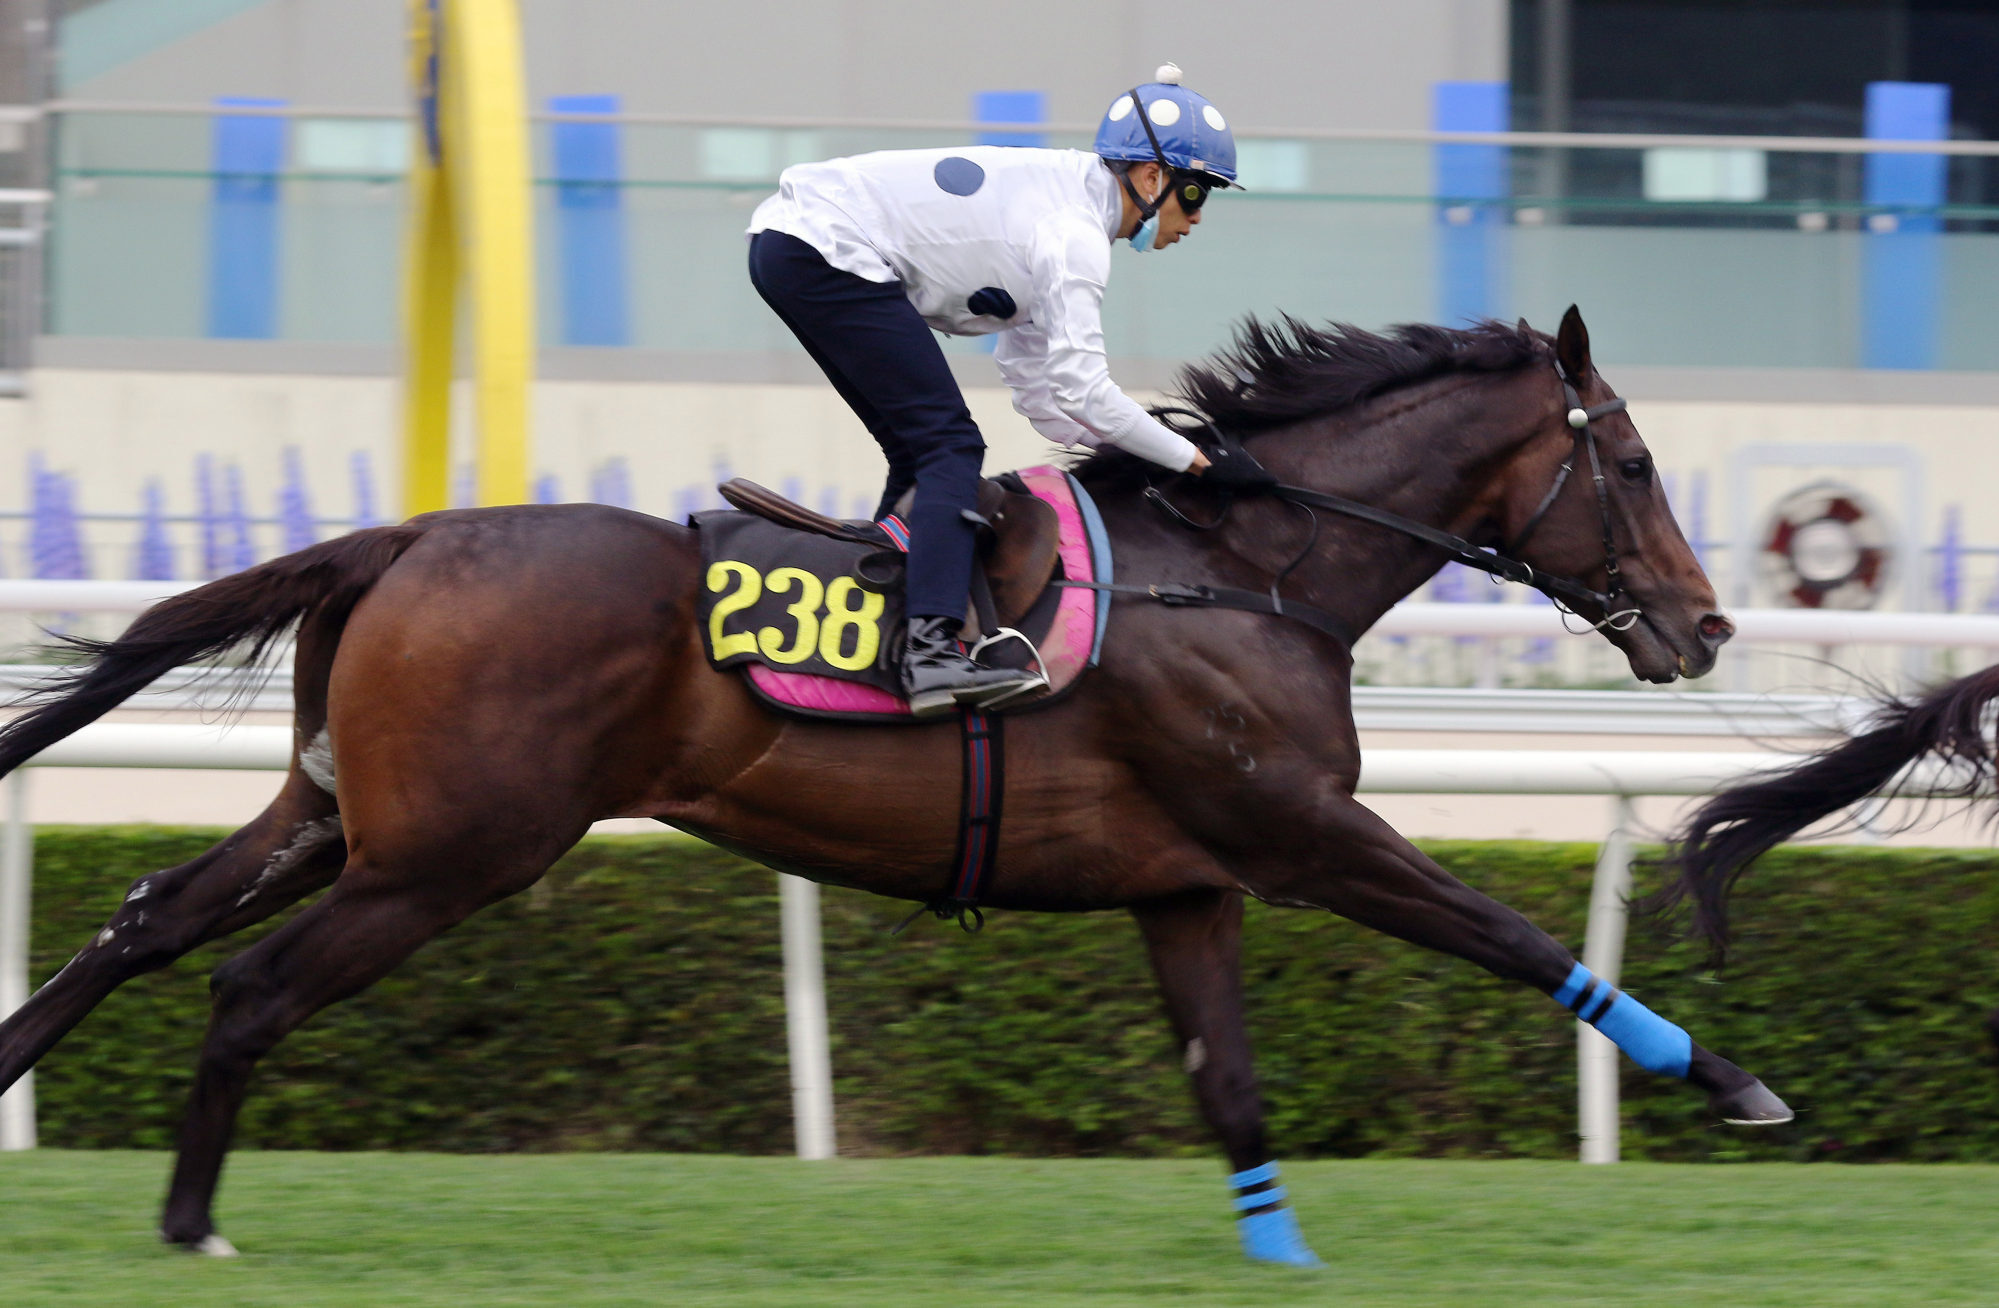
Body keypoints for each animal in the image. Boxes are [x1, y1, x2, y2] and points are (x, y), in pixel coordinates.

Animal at [0, 308, 1791, 1272]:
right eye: (1634, 464)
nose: (1703, 625)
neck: (1242, 571)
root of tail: (404, 538)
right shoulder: (1299, 833)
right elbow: (1509, 935)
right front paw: (1731, 1083)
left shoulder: (1185, 880)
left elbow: (1225, 1081)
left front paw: (1281, 1253)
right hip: (449, 854)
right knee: (244, 984)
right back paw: (191, 1223)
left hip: (335, 819)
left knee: (144, 919)